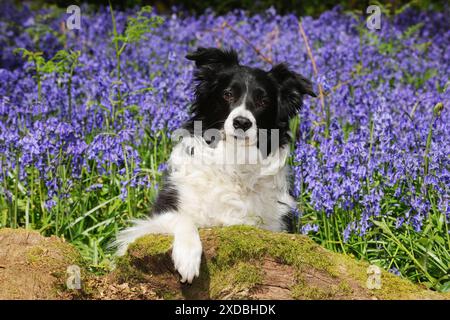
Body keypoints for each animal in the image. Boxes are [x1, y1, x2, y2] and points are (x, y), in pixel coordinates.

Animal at [116, 47, 316, 282]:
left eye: (263, 102)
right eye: (227, 94)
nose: (241, 122)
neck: (234, 161)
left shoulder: (276, 226)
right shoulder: (153, 219)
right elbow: (182, 219)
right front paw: (187, 257)